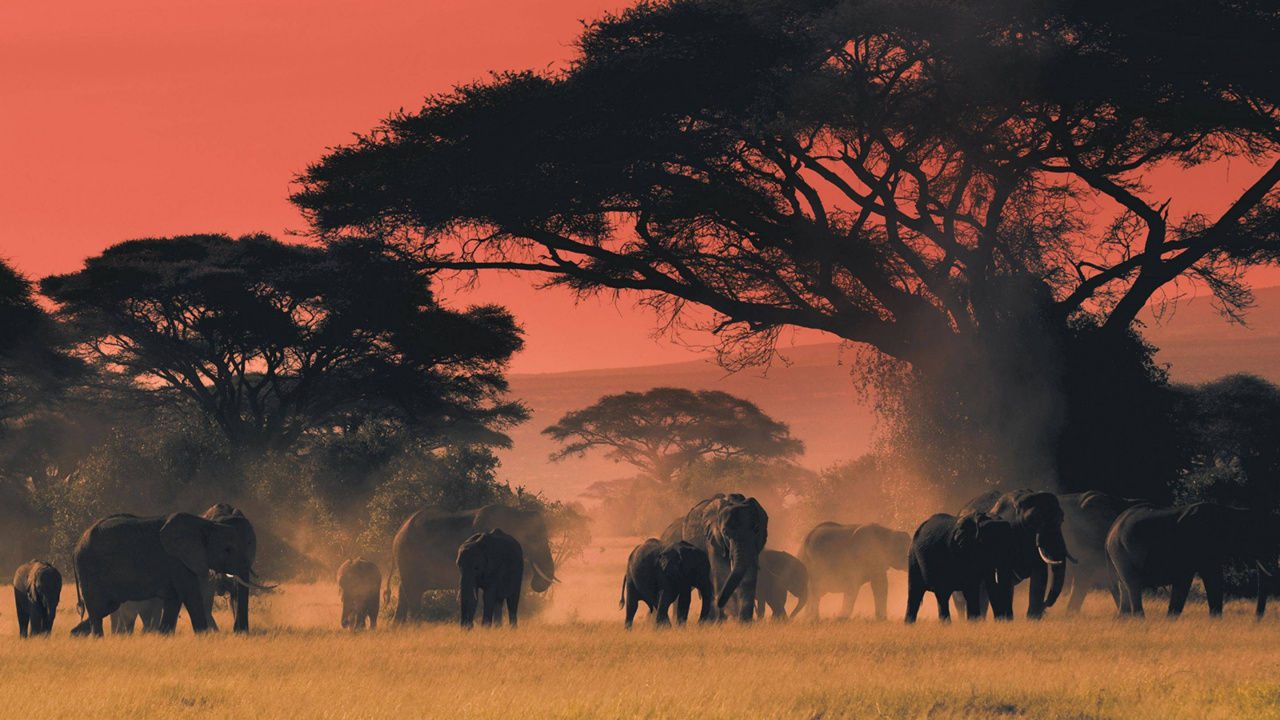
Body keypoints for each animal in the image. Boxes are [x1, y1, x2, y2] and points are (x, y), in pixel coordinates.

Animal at [69, 512, 268, 636]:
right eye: (227, 549)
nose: (241, 632)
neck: (206, 524)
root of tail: (76, 546)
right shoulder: (177, 561)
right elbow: (190, 595)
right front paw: (204, 637)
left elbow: (174, 599)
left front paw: (164, 636)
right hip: (89, 568)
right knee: (98, 608)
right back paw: (95, 639)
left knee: (106, 607)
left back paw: (74, 634)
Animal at [389, 505, 557, 624]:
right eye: (533, 538)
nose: (535, 582)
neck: (516, 513)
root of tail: (399, 530)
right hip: (408, 555)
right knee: (413, 593)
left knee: (404, 591)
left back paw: (398, 628)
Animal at [663, 494, 768, 622]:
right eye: (725, 533)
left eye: (756, 530)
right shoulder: (713, 539)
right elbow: (719, 573)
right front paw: (724, 621)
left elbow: (750, 575)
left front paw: (745, 623)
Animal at [1107, 502, 1280, 618]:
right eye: (1255, 537)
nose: (1255, 620)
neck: (1230, 511)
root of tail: (1112, 529)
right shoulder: (1196, 543)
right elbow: (1203, 579)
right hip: (1121, 551)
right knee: (1133, 586)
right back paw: (1140, 621)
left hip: (1119, 554)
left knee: (1125, 587)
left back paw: (1124, 621)